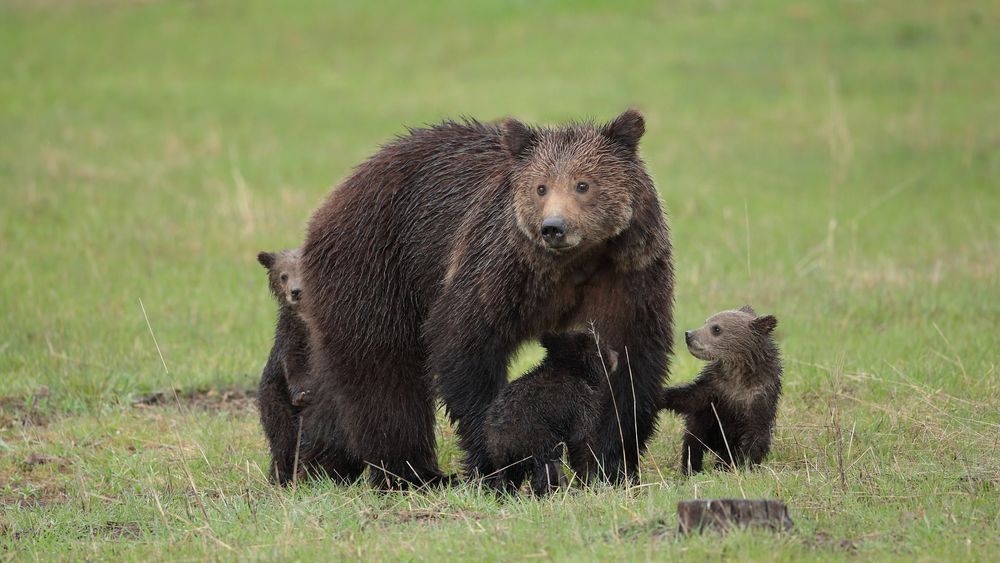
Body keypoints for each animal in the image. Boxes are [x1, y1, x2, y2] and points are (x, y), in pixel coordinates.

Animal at [484, 332, 616, 496]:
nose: (616, 354)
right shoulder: (580, 403)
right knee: (548, 469)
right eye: (601, 345)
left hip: (503, 455)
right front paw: (591, 481)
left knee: (507, 477)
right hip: (537, 440)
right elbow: (581, 440)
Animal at [660, 306, 784, 474]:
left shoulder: (759, 398)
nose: (689, 334)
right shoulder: (715, 388)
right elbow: (691, 398)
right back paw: (691, 469)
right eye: (705, 322)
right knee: (693, 444)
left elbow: (754, 438)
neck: (737, 373)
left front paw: (743, 466)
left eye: (716, 328)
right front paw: (662, 395)